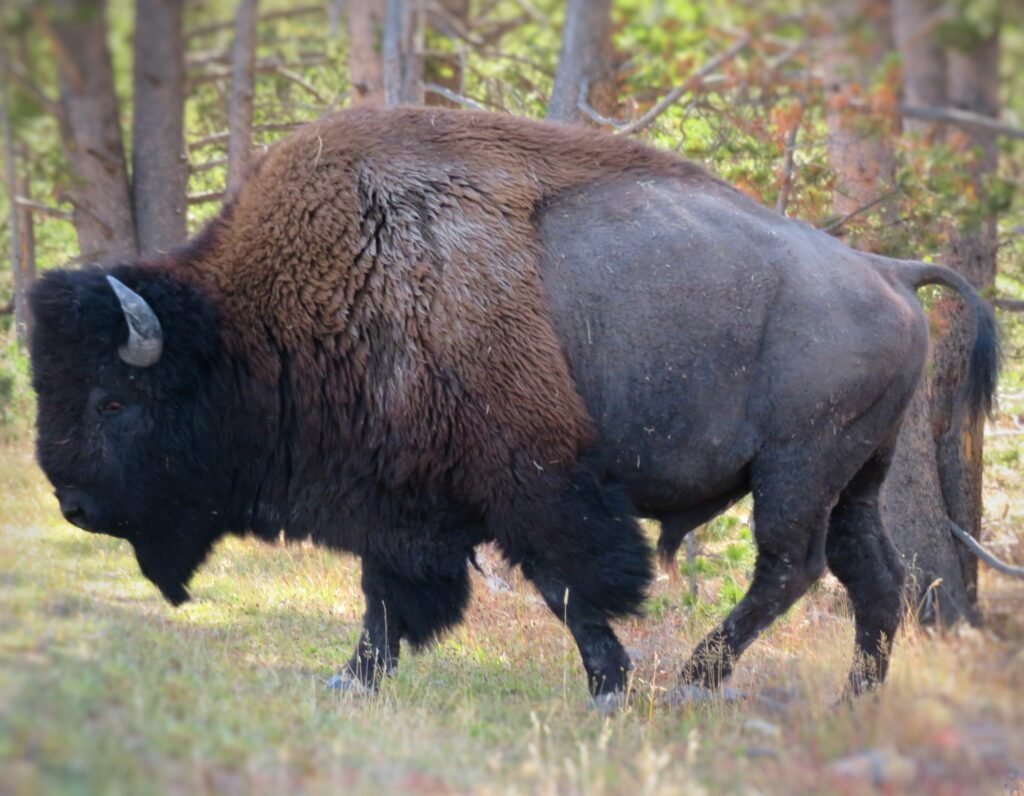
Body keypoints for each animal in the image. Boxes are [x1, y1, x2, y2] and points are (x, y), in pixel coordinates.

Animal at [28, 107, 997, 707]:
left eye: (112, 400)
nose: (70, 503)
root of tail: (885, 269)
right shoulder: (404, 499)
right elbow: (389, 598)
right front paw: (353, 680)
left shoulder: (531, 482)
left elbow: (567, 585)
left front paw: (609, 689)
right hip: (857, 475)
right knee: (874, 576)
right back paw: (854, 698)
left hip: (797, 468)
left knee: (790, 568)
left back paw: (695, 679)